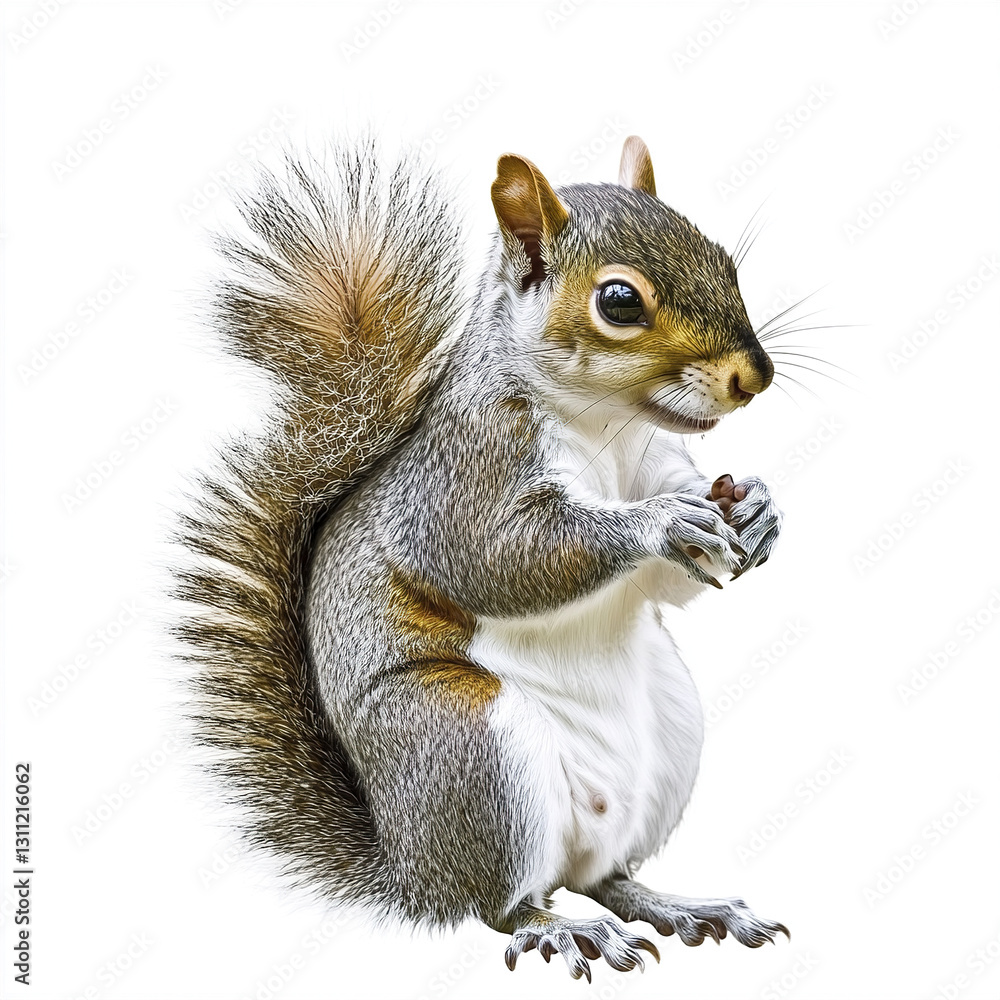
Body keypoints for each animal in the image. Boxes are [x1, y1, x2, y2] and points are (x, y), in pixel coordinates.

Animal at [175, 134, 789, 982]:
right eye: (619, 302)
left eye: (724, 258)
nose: (753, 376)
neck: (606, 426)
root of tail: (409, 869)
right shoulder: (465, 476)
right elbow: (499, 559)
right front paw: (659, 524)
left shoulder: (657, 458)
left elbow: (679, 581)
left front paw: (759, 509)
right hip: (465, 745)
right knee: (501, 904)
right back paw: (560, 929)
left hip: (669, 733)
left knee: (605, 877)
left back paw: (677, 907)